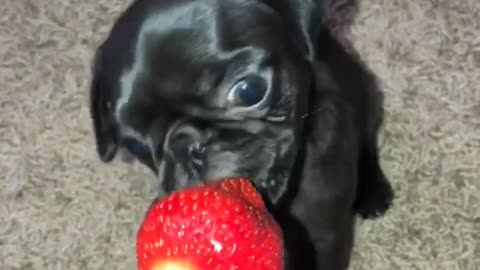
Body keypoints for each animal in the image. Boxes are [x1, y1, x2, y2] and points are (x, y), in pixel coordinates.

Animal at [89, 0, 394, 268]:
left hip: (367, 95)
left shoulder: (325, 238)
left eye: (249, 91)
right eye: (136, 148)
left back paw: (374, 192)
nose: (185, 148)